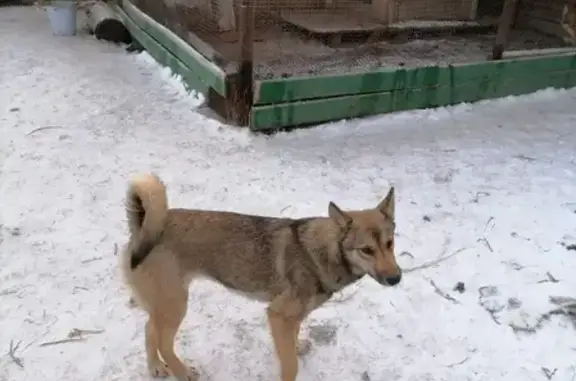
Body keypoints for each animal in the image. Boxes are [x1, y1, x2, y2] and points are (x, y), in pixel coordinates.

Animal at [120, 173, 400, 380]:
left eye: (390, 243)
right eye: (366, 250)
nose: (396, 279)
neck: (323, 251)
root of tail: (142, 228)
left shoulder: (292, 317)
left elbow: (293, 342)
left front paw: (297, 346)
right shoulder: (278, 315)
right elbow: (290, 366)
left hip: (164, 305)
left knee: (149, 330)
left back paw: (156, 367)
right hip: (176, 305)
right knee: (164, 343)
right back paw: (183, 372)